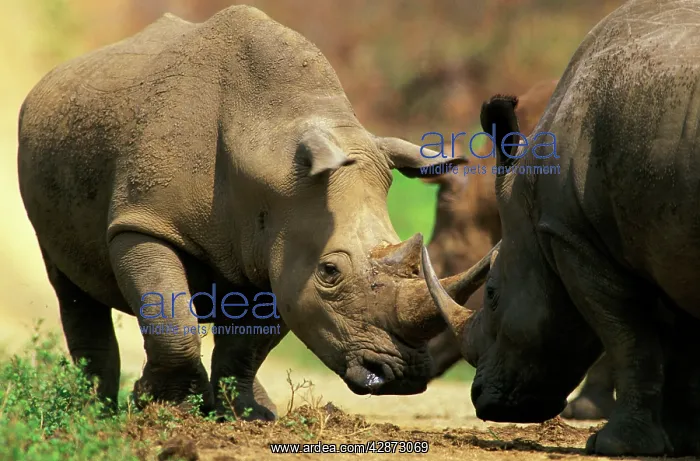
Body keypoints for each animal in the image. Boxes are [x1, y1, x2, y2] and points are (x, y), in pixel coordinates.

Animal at [17, 5, 476, 421]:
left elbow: (247, 345)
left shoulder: (280, 249)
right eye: (329, 272)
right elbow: (171, 318)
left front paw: (245, 417)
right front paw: (164, 410)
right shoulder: (143, 223)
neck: (269, 146)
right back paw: (90, 413)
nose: (403, 376)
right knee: (69, 285)